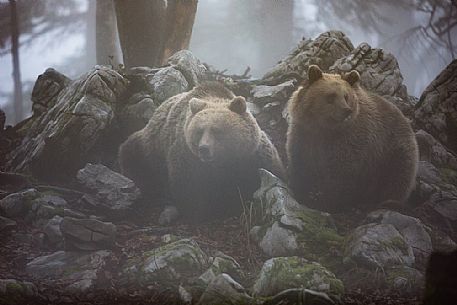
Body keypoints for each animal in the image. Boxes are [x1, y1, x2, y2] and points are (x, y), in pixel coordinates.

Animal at [118, 82, 282, 221]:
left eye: (217, 131)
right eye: (199, 131)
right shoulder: (187, 156)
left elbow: (270, 169)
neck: (223, 162)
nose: (204, 149)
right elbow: (189, 188)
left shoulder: (252, 154)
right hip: (149, 148)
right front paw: (207, 210)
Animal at [286, 64, 418, 211]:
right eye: (331, 96)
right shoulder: (303, 133)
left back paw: (386, 202)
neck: (324, 130)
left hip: (393, 150)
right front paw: (300, 188)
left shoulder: (351, 141)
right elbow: (300, 161)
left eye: (346, 96)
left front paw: (323, 200)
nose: (346, 110)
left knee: (398, 176)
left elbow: (342, 173)